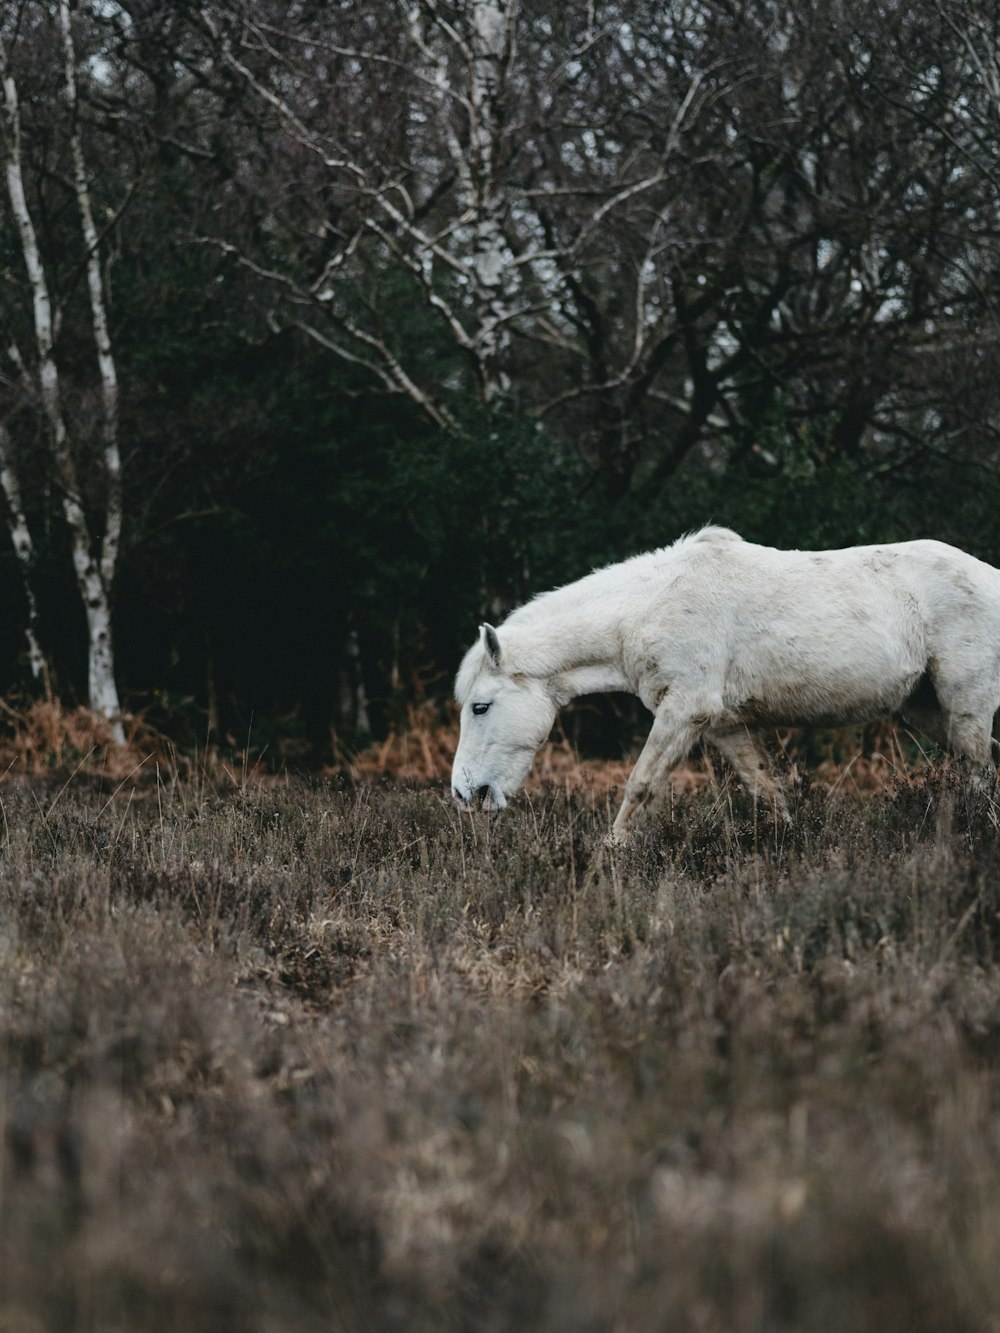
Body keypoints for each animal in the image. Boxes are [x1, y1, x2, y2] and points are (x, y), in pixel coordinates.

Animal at [453, 525, 1000, 837]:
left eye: (480, 707)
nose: (465, 794)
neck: (647, 608)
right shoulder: (723, 725)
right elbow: (766, 791)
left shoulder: (683, 711)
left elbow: (641, 785)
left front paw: (609, 858)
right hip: (928, 711)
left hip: (966, 705)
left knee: (979, 773)